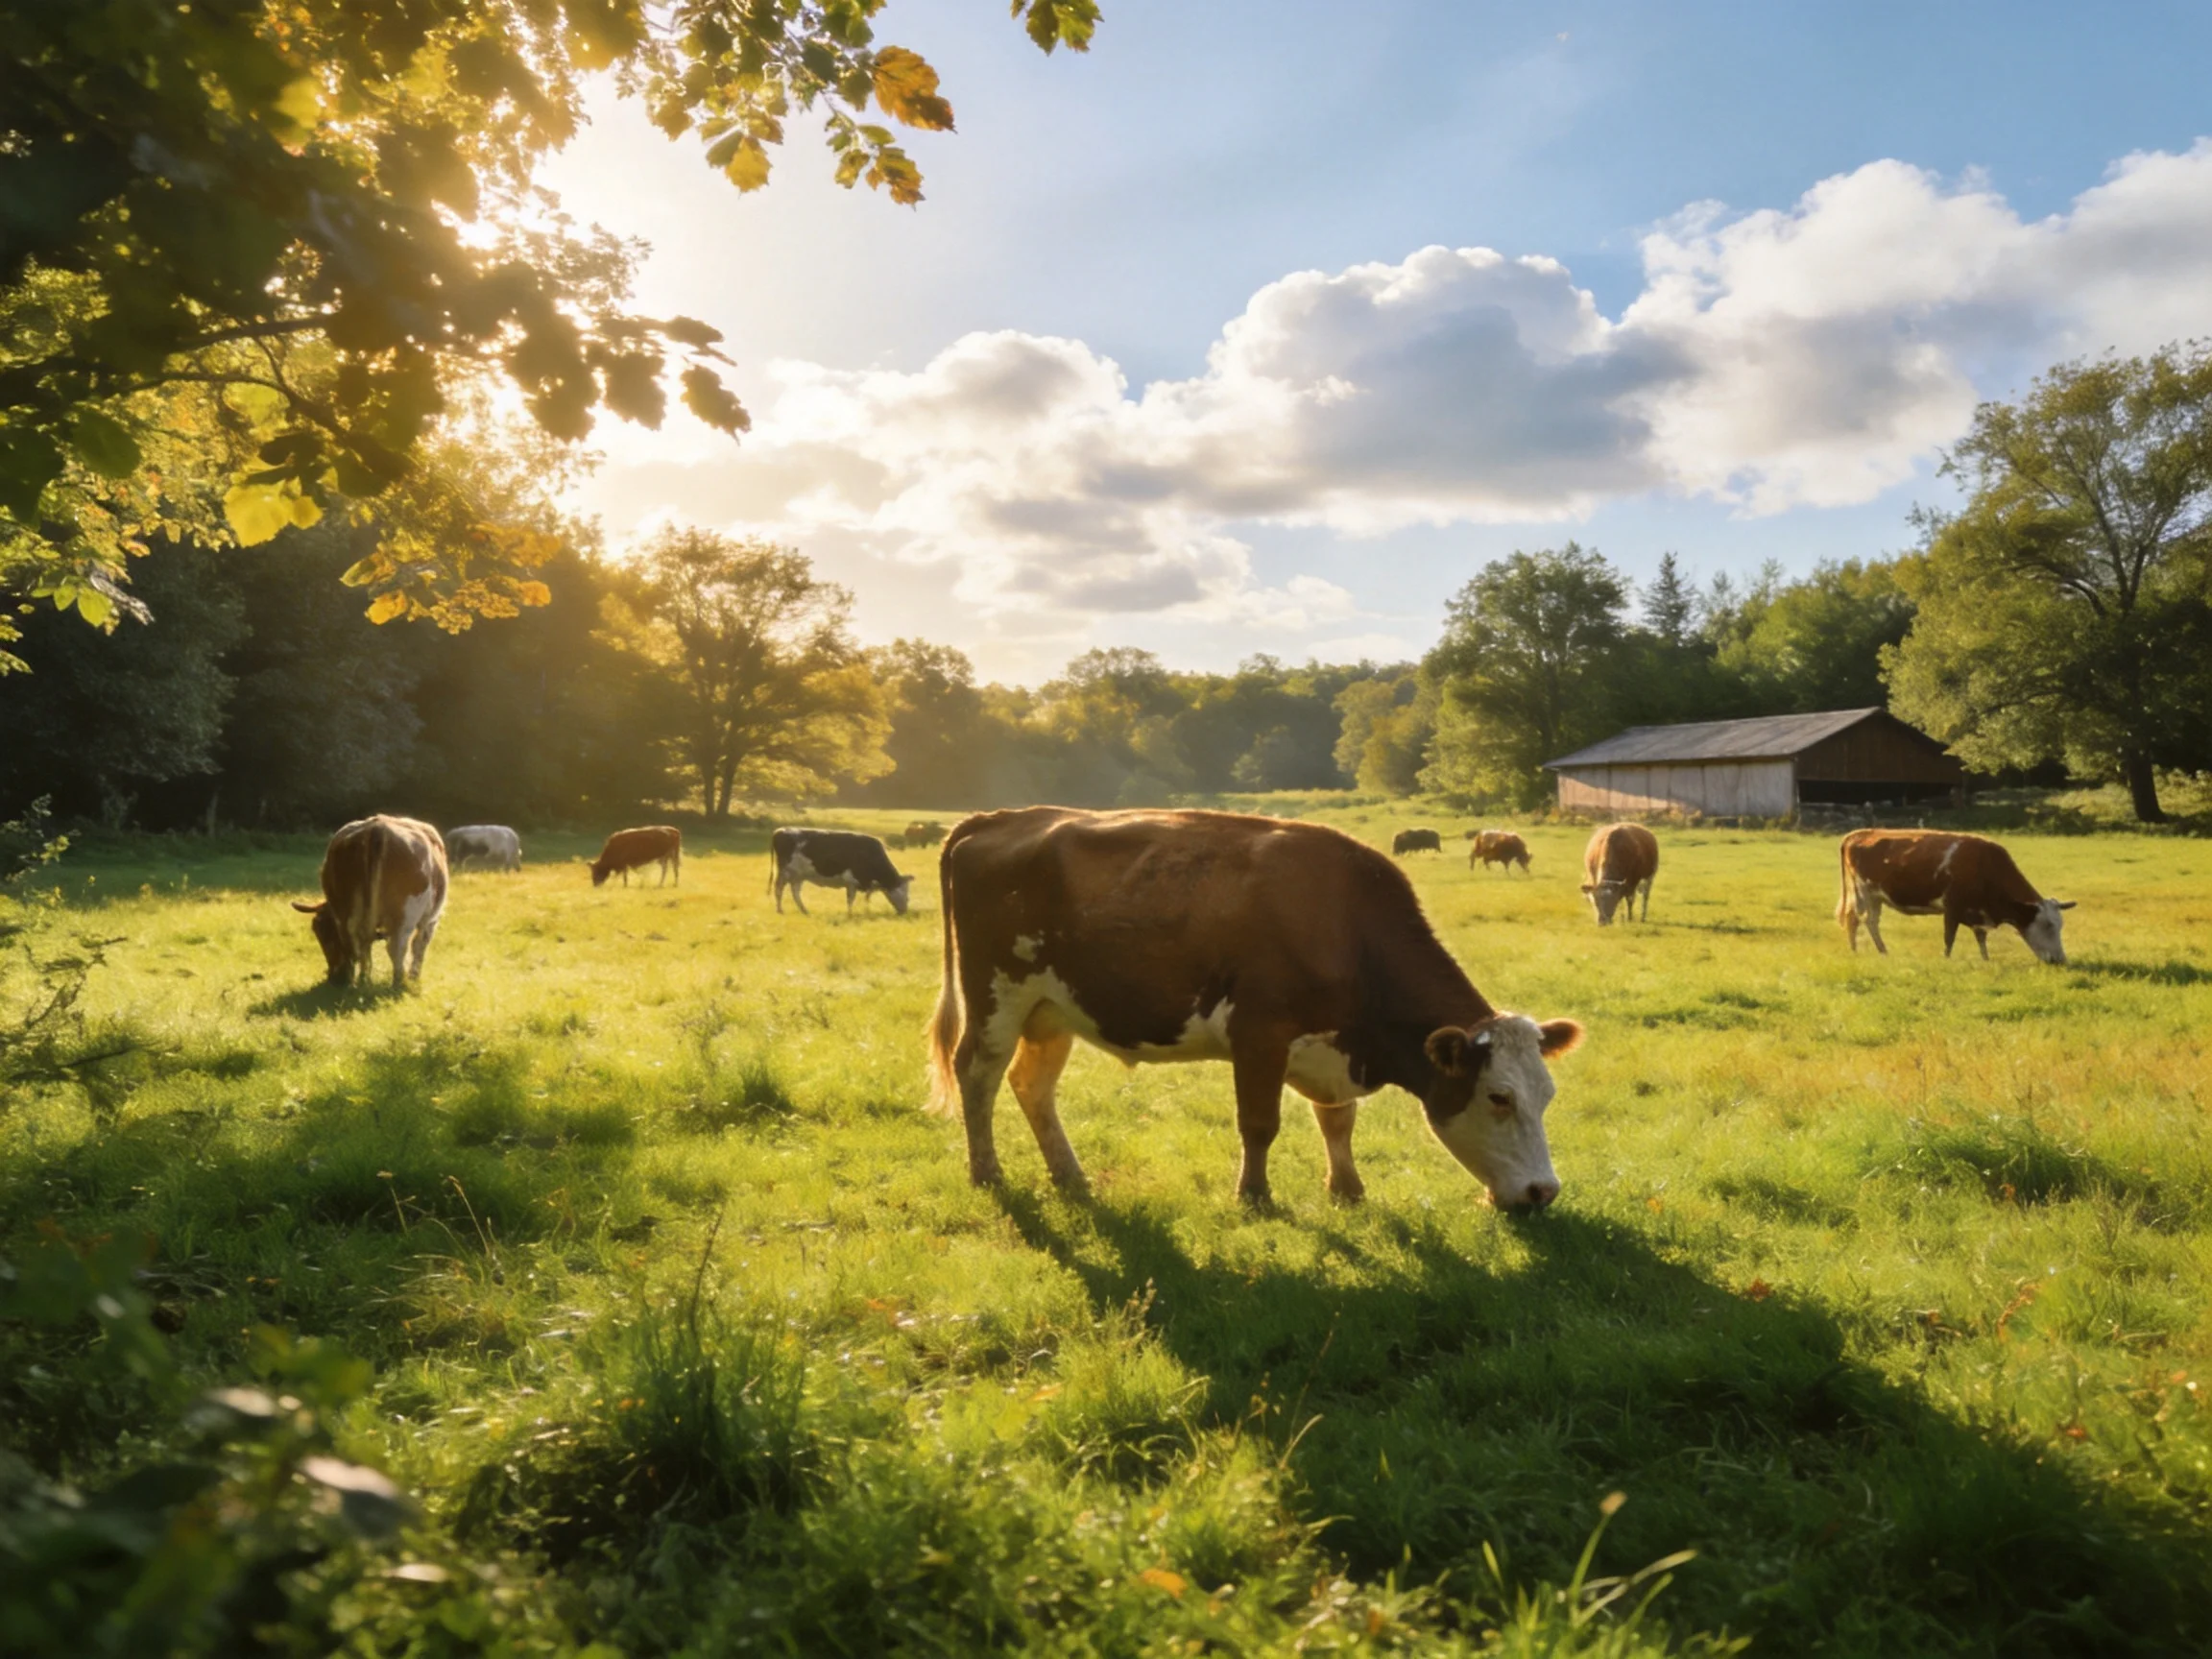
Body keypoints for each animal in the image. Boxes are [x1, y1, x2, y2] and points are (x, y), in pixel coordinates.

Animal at [290, 815, 448, 989]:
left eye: (323, 934)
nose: (334, 978)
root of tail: (377, 827)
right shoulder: (431, 920)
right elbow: (420, 945)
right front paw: (414, 978)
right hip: (406, 914)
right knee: (397, 947)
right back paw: (397, 982)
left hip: (346, 914)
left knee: (358, 944)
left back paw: (362, 981)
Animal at [770, 828, 913, 915]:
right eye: (907, 896)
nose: (904, 911)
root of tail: (781, 830)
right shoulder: (851, 882)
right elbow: (850, 900)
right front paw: (850, 914)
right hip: (785, 872)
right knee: (778, 889)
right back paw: (780, 910)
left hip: (798, 876)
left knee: (795, 893)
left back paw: (804, 911)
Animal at [928, 807, 1584, 1211]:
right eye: (1498, 1097)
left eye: (1549, 1095)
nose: (1544, 1192)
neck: (1344, 924)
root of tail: (1001, 817)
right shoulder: (1259, 1036)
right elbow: (1260, 1124)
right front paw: (1255, 1197)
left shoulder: (1331, 1045)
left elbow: (1337, 1121)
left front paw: (1347, 1189)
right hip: (996, 1000)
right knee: (977, 1077)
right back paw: (987, 1173)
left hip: (1050, 1012)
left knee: (1031, 1085)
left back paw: (1070, 1176)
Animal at [1838, 829, 2076, 963]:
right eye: (2047, 926)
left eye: (2060, 925)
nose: (2060, 960)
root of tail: (1859, 833)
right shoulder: (1951, 907)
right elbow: (1949, 937)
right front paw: (1946, 960)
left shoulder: (1978, 911)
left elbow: (1981, 936)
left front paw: (1986, 960)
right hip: (1862, 892)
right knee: (1856, 920)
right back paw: (1857, 951)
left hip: (1875, 897)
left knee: (1871, 922)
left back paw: (1881, 951)